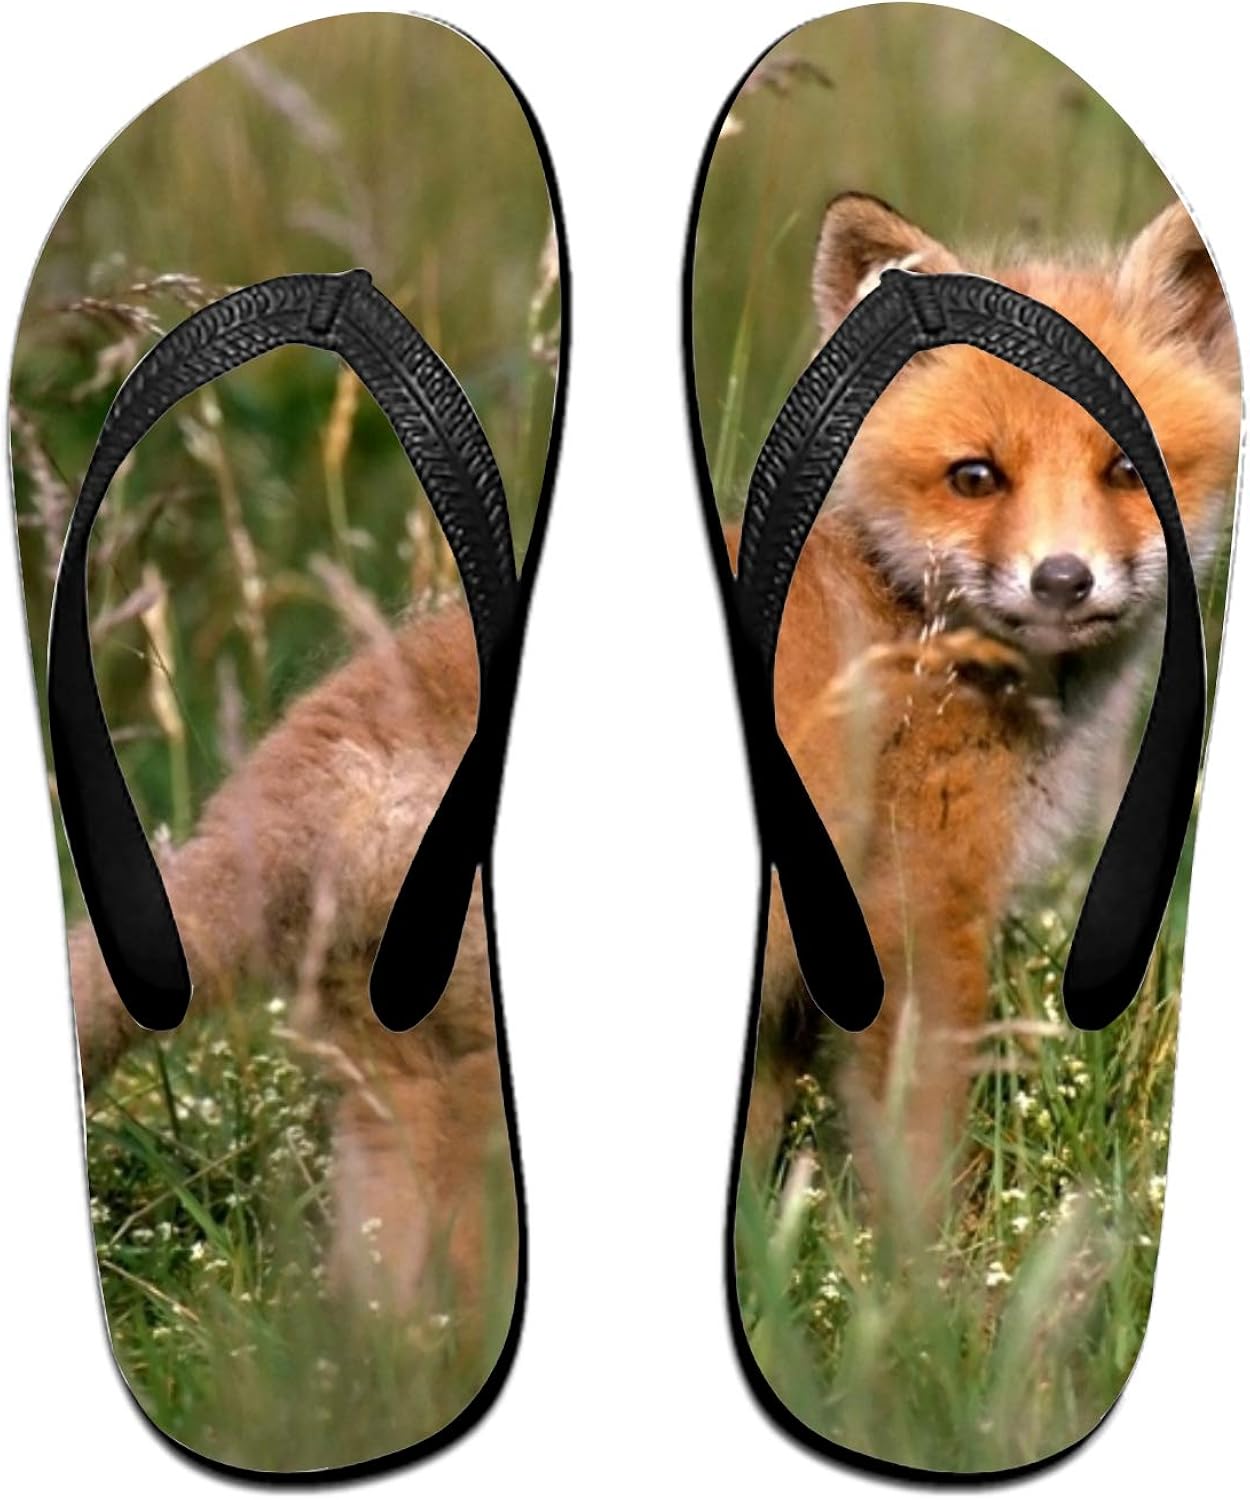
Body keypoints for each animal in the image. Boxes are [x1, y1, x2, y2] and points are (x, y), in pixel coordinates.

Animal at [737, 192, 1240, 1214]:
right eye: (975, 477)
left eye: (1127, 469)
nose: (1062, 579)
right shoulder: (920, 916)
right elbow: (917, 1143)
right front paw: (926, 1255)